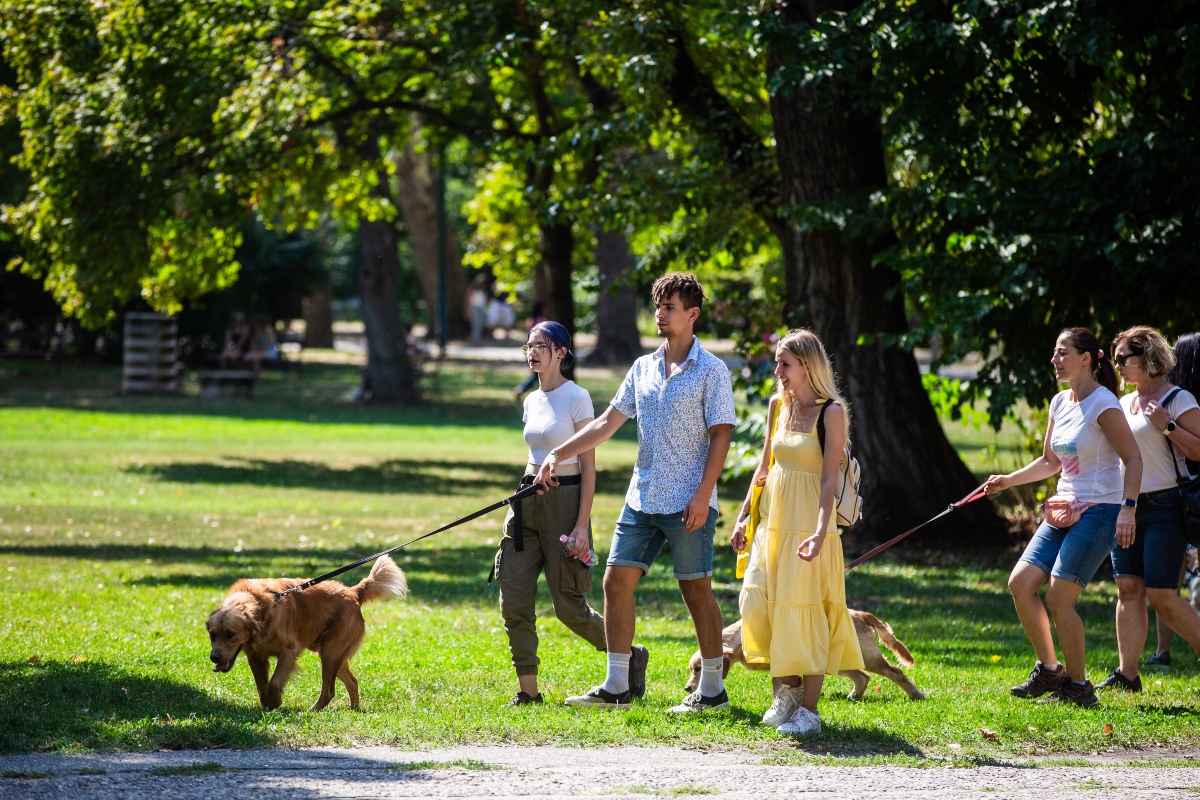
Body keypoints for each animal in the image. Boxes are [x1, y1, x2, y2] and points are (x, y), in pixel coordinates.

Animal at [206, 556, 408, 714]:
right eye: (212, 635)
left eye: (230, 634)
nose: (214, 657)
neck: (262, 609)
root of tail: (352, 592)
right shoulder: (256, 657)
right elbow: (262, 686)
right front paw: (266, 707)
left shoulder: (289, 652)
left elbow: (274, 683)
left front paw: (275, 702)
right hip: (333, 655)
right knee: (352, 681)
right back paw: (354, 709)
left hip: (330, 653)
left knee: (329, 691)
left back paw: (313, 710)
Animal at [686, 614, 926, 700]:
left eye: (699, 669)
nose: (687, 688)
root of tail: (862, 615)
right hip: (839, 662)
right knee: (862, 677)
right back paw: (854, 696)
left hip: (869, 658)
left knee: (896, 672)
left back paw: (916, 695)